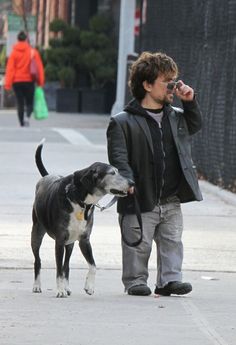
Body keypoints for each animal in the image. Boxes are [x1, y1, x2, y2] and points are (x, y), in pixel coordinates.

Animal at [31, 139, 132, 296]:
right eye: (112, 173)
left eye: (118, 171)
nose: (132, 183)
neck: (80, 201)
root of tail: (46, 177)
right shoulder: (60, 241)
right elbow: (58, 269)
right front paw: (60, 290)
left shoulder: (84, 240)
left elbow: (93, 265)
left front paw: (89, 286)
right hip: (36, 232)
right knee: (38, 260)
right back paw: (37, 285)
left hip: (70, 243)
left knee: (66, 265)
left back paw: (67, 287)